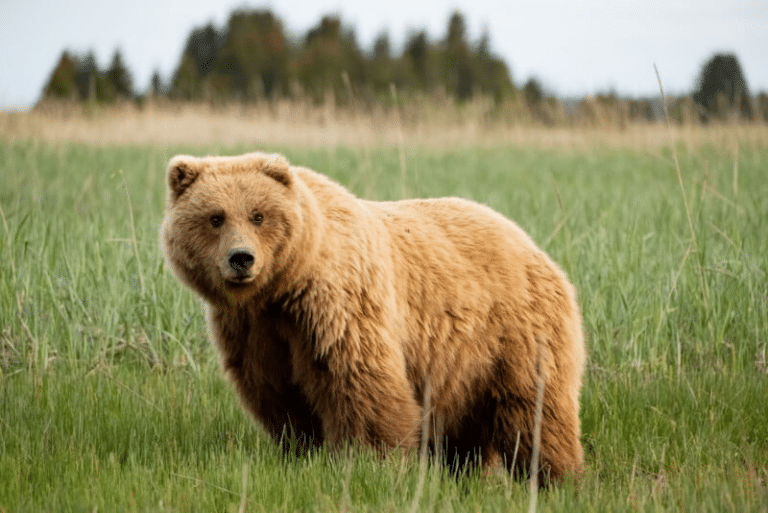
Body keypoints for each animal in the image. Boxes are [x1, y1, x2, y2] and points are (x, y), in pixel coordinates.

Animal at [160, 150, 584, 482]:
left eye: (258, 215)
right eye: (216, 217)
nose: (241, 259)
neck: (284, 286)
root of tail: (534, 246)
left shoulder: (335, 306)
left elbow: (360, 382)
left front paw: (372, 461)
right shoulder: (255, 329)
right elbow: (278, 393)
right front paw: (301, 451)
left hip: (514, 333)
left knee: (534, 409)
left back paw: (555, 477)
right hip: (464, 365)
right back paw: (463, 473)